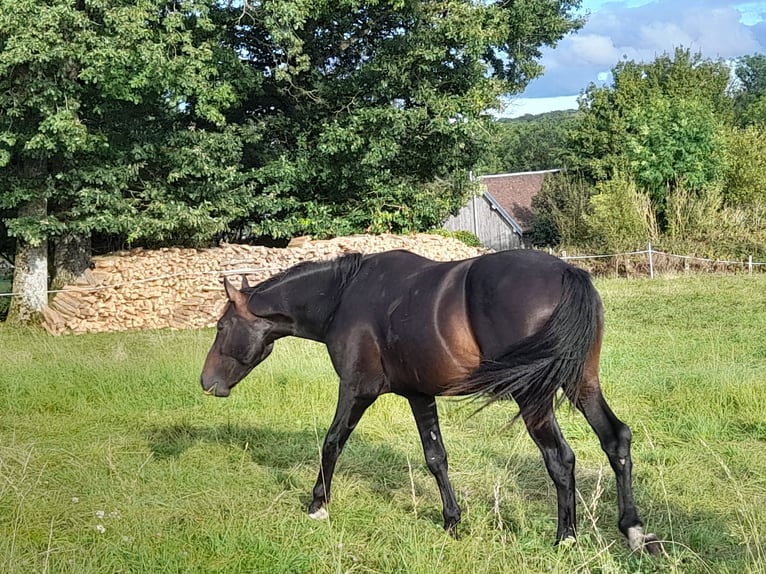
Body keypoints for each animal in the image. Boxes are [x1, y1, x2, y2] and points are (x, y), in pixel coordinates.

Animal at [201, 250, 664, 556]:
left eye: (222, 326)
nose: (207, 383)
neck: (343, 295)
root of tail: (567, 271)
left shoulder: (355, 390)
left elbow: (332, 443)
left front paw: (317, 506)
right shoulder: (419, 395)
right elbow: (436, 457)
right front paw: (452, 521)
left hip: (534, 398)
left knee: (560, 459)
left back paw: (565, 537)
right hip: (581, 384)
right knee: (615, 440)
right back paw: (633, 529)